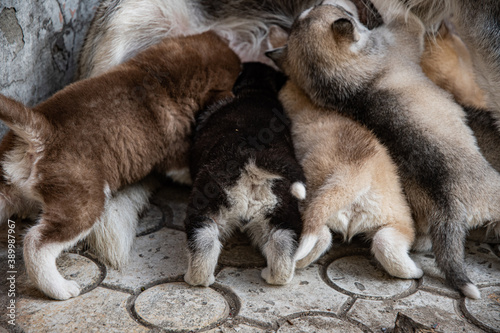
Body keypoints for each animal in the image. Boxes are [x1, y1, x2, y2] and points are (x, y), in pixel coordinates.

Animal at [0, 31, 240, 300]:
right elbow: (183, 170)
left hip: (5, 189)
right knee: (37, 242)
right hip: (83, 203)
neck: (160, 78)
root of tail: (40, 130)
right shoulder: (175, 156)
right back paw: (60, 288)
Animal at [184, 63, 306, 286]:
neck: (256, 91)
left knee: (203, 245)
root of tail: (251, 162)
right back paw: (272, 276)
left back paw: (197, 278)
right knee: (282, 249)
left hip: (204, 207)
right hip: (283, 211)